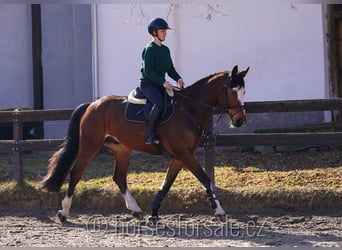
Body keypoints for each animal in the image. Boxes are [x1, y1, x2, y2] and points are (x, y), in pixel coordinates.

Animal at [42, 65, 250, 223]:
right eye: (232, 91)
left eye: (244, 91)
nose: (240, 120)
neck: (188, 109)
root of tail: (93, 105)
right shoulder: (184, 153)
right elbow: (205, 178)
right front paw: (219, 210)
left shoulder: (180, 156)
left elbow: (166, 183)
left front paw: (154, 213)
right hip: (89, 146)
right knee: (76, 173)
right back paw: (64, 212)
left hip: (121, 149)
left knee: (119, 177)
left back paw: (136, 210)